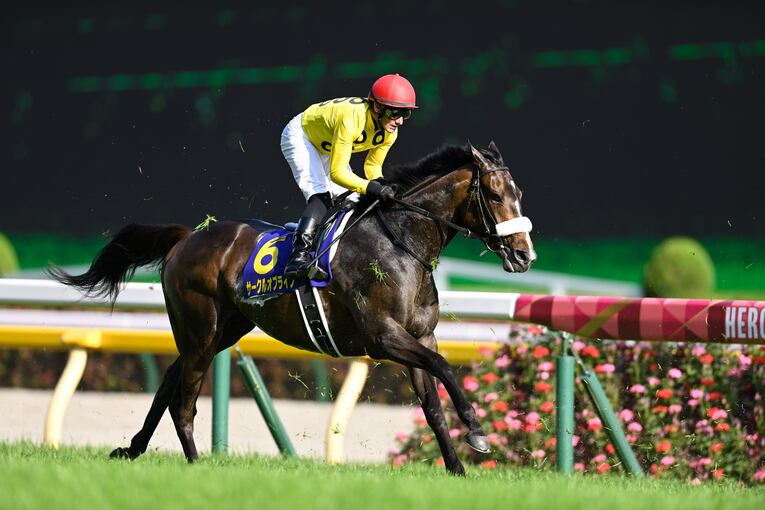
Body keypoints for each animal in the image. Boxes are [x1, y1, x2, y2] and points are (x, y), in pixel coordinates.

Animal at [49, 141, 536, 475]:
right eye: (494, 196)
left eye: (519, 193)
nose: (525, 255)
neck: (402, 243)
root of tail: (188, 236)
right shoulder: (383, 336)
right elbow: (447, 368)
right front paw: (476, 429)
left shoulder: (420, 335)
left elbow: (433, 403)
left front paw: (457, 468)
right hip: (201, 329)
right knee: (184, 397)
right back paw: (195, 463)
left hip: (226, 328)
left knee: (171, 378)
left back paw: (133, 448)